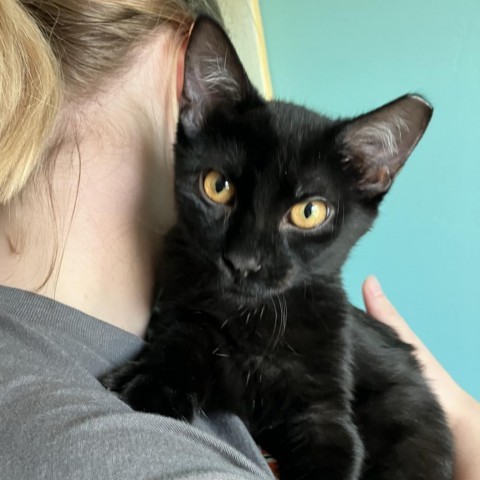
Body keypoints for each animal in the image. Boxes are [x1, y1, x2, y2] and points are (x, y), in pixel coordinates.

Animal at [102, 15, 454, 480]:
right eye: (217, 186)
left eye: (309, 212)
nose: (243, 262)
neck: (256, 323)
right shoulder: (179, 306)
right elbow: (184, 336)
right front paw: (151, 383)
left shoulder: (326, 413)